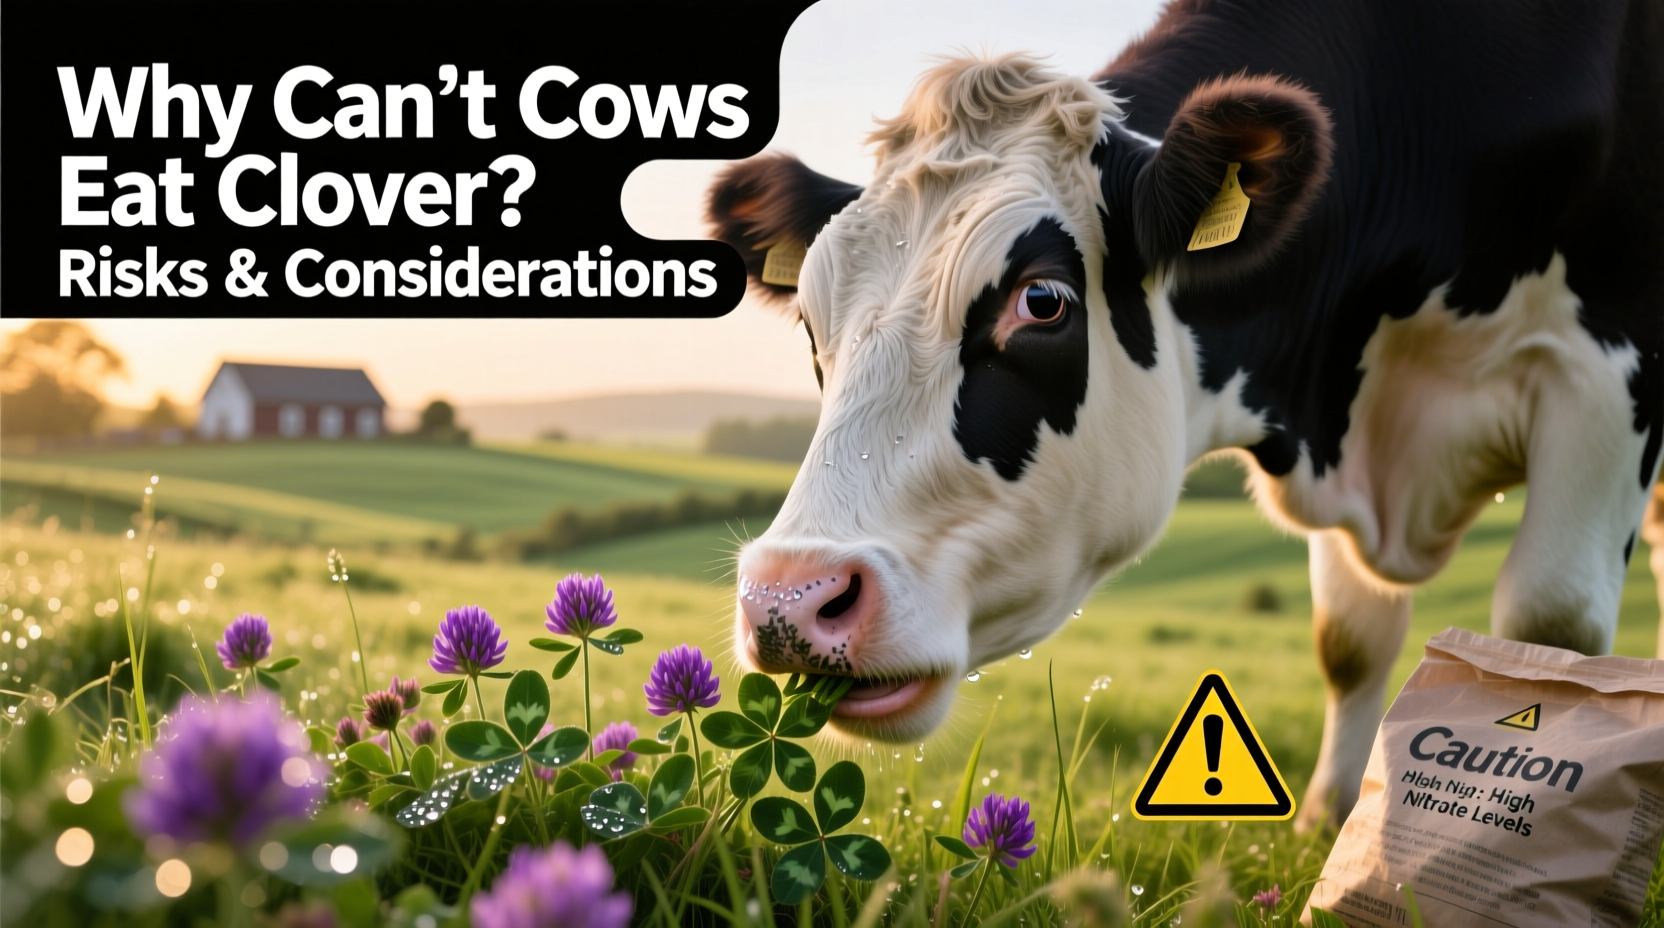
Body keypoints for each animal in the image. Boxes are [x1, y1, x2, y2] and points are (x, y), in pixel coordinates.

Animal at [706, 0, 1664, 830]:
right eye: (812, 320)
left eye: (1042, 300)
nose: (789, 598)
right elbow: (1351, 641)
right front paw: (1327, 826)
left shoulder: (1605, 384)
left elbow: (1553, 628)